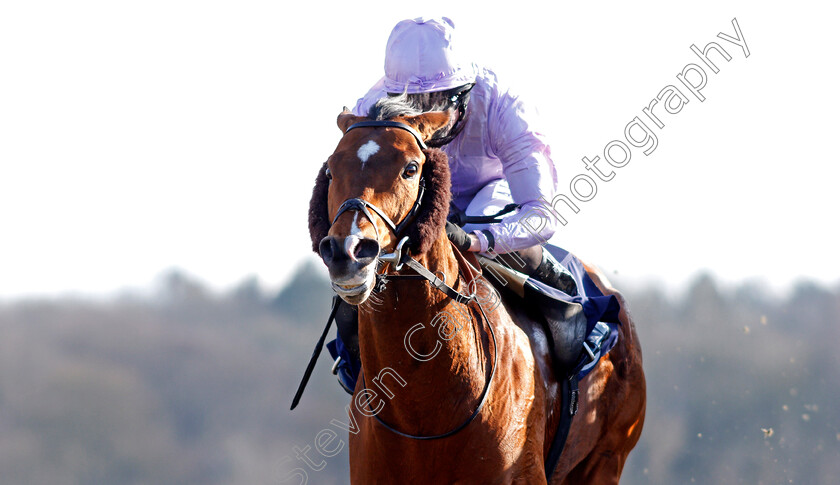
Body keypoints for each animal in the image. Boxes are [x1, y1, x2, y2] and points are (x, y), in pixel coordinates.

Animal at [308, 107, 648, 484]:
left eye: (410, 168)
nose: (348, 252)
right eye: (331, 169)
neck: (422, 411)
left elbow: (537, 208)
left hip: (606, 459)